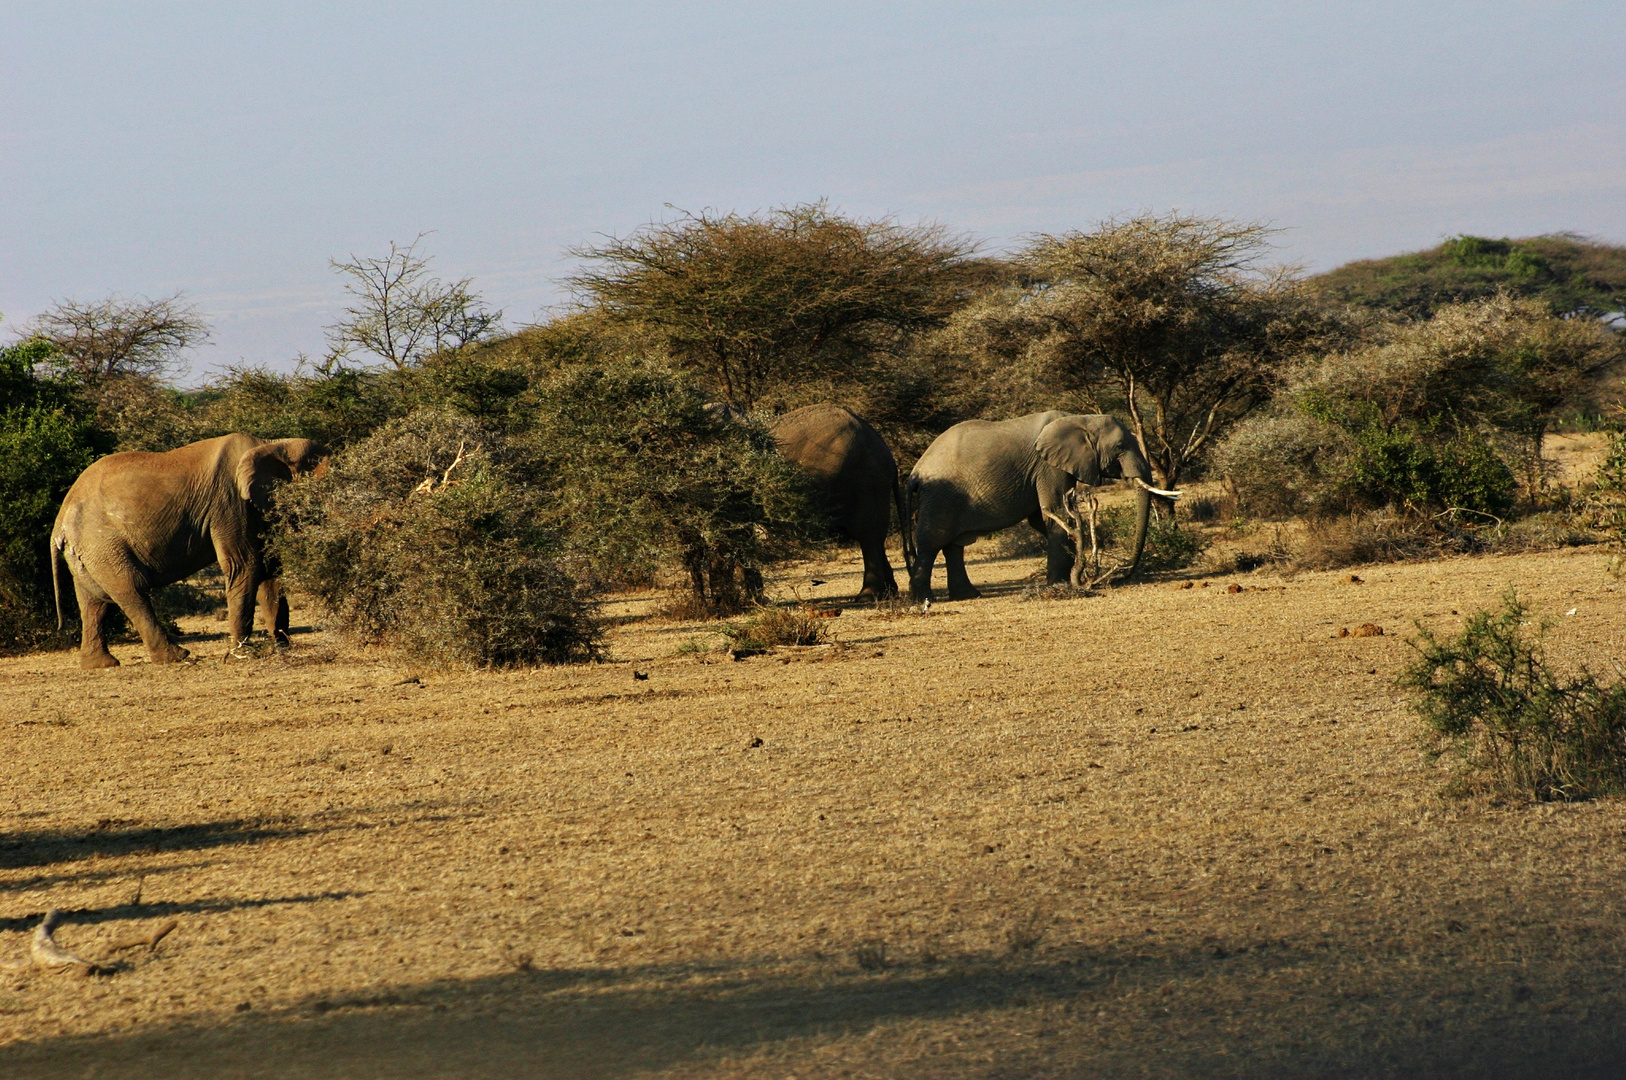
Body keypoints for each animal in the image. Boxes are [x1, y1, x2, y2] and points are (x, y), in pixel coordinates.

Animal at [49, 429, 326, 666]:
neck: (272, 443)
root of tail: (59, 523)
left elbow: (269, 568)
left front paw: (280, 647)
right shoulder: (230, 502)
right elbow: (245, 564)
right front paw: (242, 654)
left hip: (87, 551)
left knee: (93, 601)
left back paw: (101, 664)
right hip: (102, 544)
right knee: (131, 590)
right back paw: (176, 656)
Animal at [910, 411, 1177, 601]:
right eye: (1120, 447)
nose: (1123, 575)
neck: (1081, 418)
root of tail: (916, 470)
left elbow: (1042, 519)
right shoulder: (1048, 467)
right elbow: (1056, 513)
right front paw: (1060, 584)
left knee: (953, 546)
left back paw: (969, 596)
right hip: (940, 496)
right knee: (932, 541)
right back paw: (924, 599)